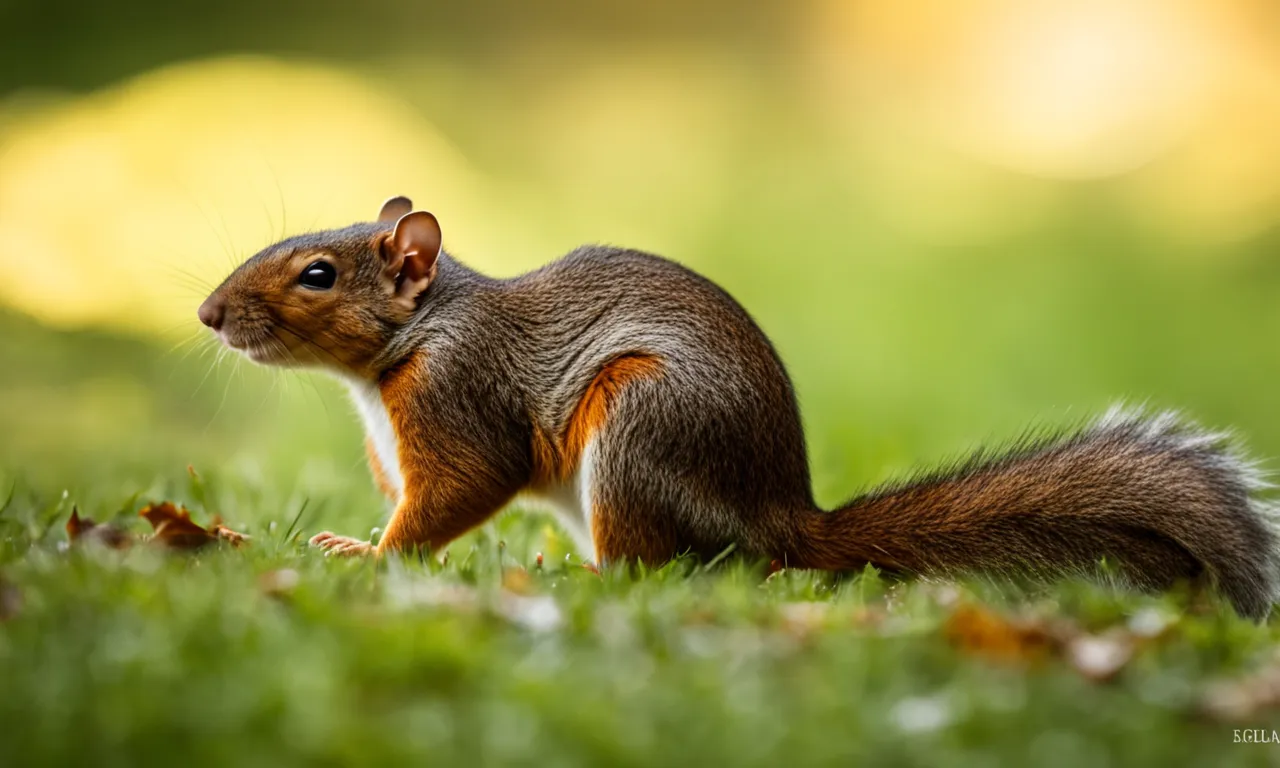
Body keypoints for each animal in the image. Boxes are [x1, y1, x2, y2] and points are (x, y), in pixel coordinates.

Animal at [198, 196, 1280, 619]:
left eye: (317, 274)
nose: (207, 315)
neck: (413, 342)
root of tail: (780, 516)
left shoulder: (462, 402)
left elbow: (457, 492)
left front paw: (364, 555)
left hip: (638, 424)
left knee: (653, 565)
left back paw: (582, 579)